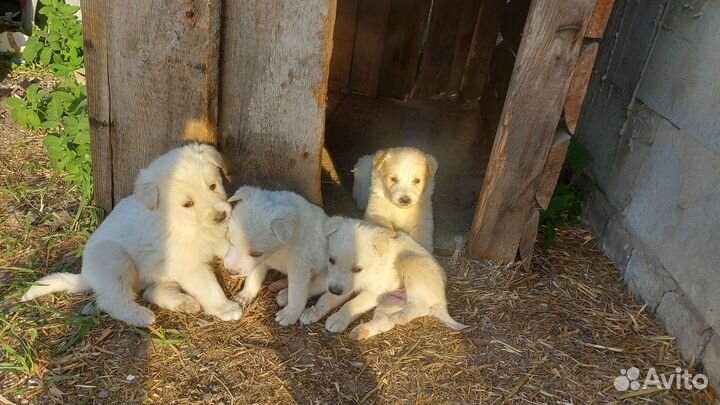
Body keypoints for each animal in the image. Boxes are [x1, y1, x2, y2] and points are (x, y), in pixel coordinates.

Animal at [21, 120, 242, 326]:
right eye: (187, 204)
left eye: (212, 186)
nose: (221, 216)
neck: (186, 225)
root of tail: (85, 275)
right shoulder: (188, 265)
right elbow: (209, 286)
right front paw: (225, 308)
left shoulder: (216, 240)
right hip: (113, 259)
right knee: (112, 302)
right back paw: (140, 316)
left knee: (151, 293)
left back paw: (184, 303)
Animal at [222, 186, 330, 326]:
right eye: (230, 241)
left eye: (256, 253)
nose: (231, 272)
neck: (281, 249)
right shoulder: (261, 262)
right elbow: (253, 277)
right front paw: (246, 294)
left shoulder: (300, 268)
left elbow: (297, 293)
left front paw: (289, 314)